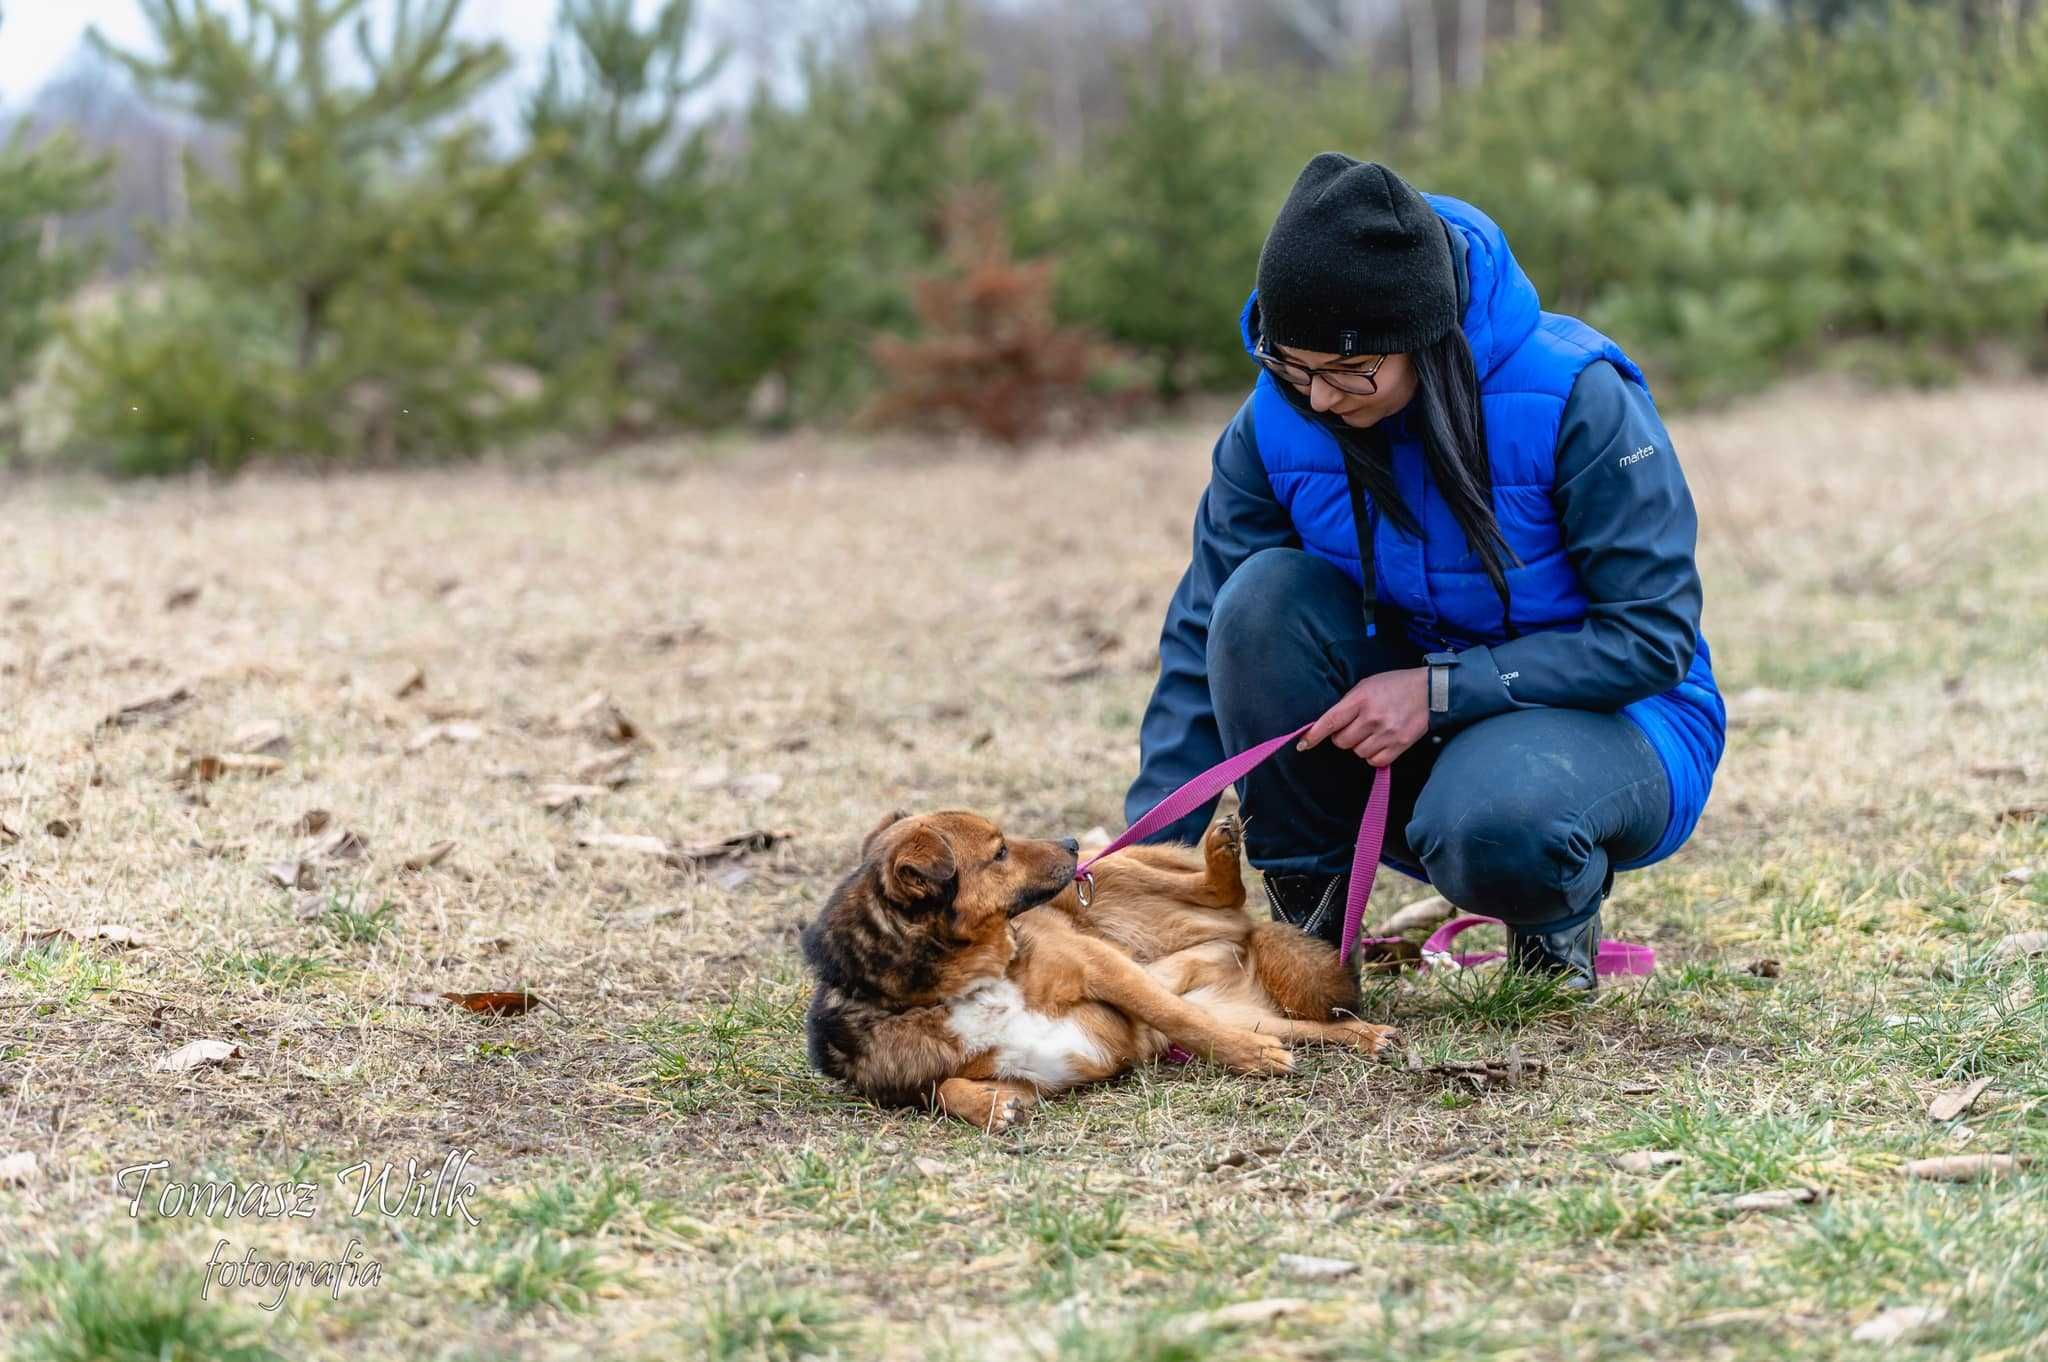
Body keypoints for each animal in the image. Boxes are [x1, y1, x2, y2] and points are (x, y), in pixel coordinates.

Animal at [794, 802, 1392, 1130]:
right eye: (999, 852)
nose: (1072, 842)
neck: (969, 981)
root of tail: (1238, 937)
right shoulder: (1018, 1075)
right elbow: (941, 1090)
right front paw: (989, 1107)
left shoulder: (1097, 963)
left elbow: (1176, 1017)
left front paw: (1250, 1059)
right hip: (1242, 1006)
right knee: (1307, 1025)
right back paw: (1367, 1037)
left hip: (1107, 877)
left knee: (1220, 897)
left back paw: (1219, 856)